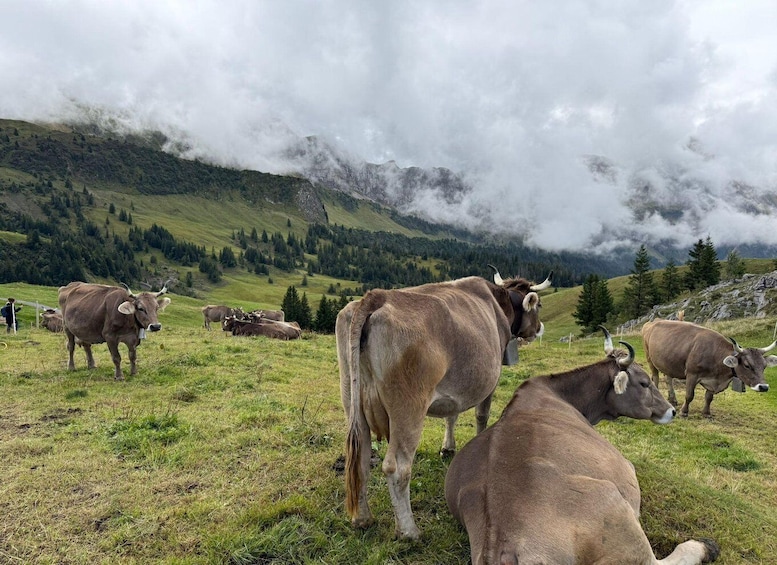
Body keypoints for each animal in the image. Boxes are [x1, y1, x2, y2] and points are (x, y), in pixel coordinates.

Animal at [337, 268, 551, 539]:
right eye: (539, 305)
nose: (539, 328)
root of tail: (377, 296)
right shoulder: (491, 381)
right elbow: (482, 416)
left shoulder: (455, 387)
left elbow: (452, 415)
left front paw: (448, 448)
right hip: (409, 407)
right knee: (397, 467)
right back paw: (409, 531)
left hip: (351, 399)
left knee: (361, 458)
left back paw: (362, 519)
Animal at [445, 327, 719, 565]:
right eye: (643, 383)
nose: (671, 411)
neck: (561, 393)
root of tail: (500, 543)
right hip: (615, 509)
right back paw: (705, 546)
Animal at [642, 319, 777, 417]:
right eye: (747, 365)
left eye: (764, 366)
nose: (764, 387)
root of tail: (653, 322)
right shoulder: (692, 374)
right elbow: (689, 395)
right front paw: (684, 412)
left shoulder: (713, 380)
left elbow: (709, 398)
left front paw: (706, 413)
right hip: (650, 358)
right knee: (655, 377)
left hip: (668, 362)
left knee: (668, 378)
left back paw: (672, 399)